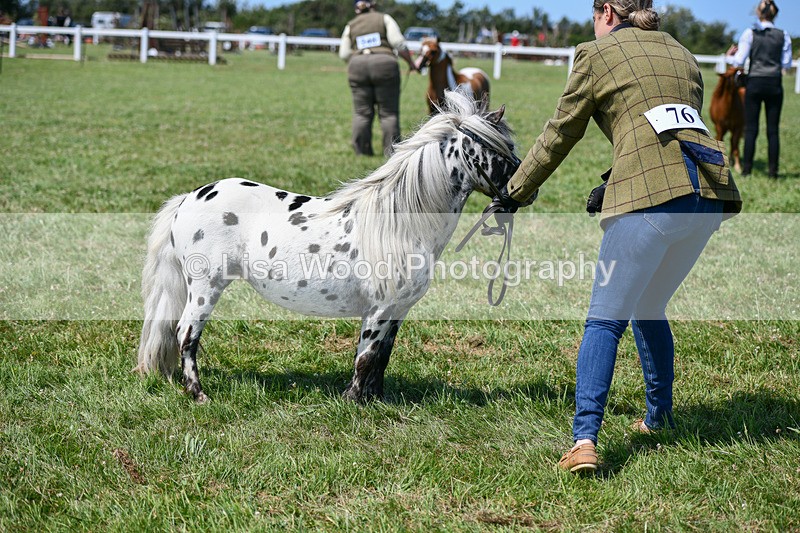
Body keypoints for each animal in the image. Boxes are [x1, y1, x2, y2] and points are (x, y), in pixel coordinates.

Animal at [135, 89, 520, 404]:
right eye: (504, 150)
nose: (522, 194)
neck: (398, 224)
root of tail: (188, 198)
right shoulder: (379, 309)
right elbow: (366, 356)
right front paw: (353, 401)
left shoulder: (397, 310)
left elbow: (382, 357)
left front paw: (376, 400)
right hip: (205, 287)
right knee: (186, 334)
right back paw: (198, 393)